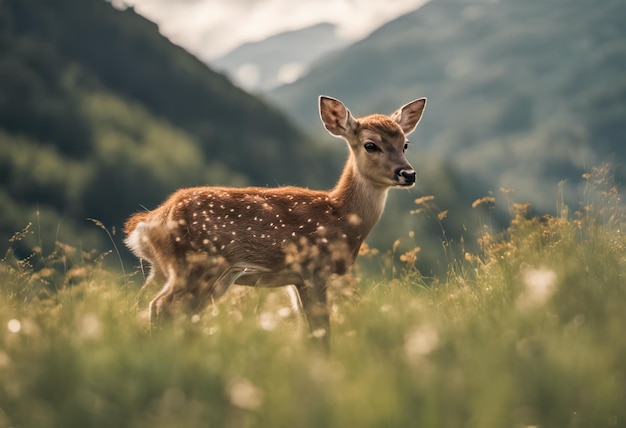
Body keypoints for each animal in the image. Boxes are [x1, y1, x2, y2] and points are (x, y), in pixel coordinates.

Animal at [123, 95, 424, 350]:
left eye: (405, 144)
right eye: (371, 144)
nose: (408, 173)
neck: (339, 217)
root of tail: (147, 223)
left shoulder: (295, 280)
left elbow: (308, 329)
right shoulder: (315, 270)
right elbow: (322, 332)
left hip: (167, 271)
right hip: (197, 266)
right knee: (162, 307)